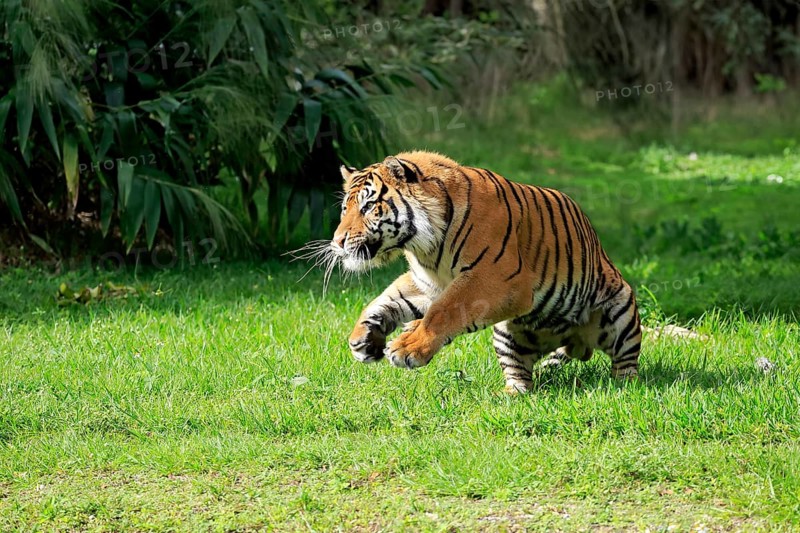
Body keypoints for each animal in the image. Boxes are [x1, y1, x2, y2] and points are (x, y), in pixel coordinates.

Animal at [329, 150, 641, 393]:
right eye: (345, 209)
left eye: (369, 206)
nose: (338, 241)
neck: (425, 247)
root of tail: (575, 343)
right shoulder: (428, 284)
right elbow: (386, 299)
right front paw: (363, 339)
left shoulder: (496, 279)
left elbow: (444, 310)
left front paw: (407, 348)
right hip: (507, 336)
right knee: (520, 377)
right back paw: (511, 394)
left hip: (621, 310)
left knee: (626, 361)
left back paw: (624, 387)